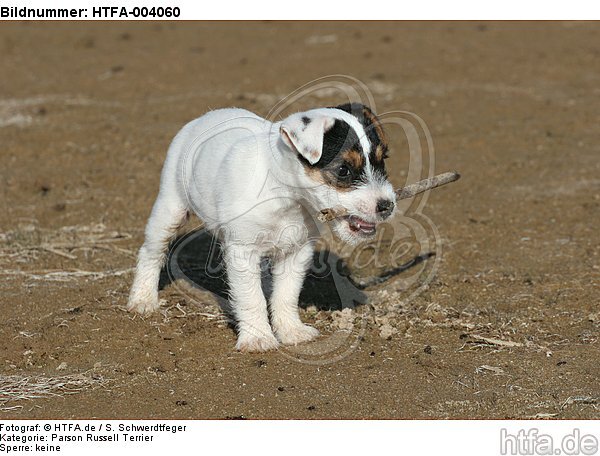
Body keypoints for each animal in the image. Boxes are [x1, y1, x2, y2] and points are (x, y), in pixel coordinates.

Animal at [127, 102, 394, 352]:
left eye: (382, 161)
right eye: (343, 170)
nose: (387, 205)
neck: (284, 196)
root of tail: (206, 116)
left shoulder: (297, 252)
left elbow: (286, 295)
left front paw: (291, 331)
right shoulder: (242, 251)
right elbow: (250, 297)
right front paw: (258, 338)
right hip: (170, 208)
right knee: (151, 252)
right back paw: (143, 299)